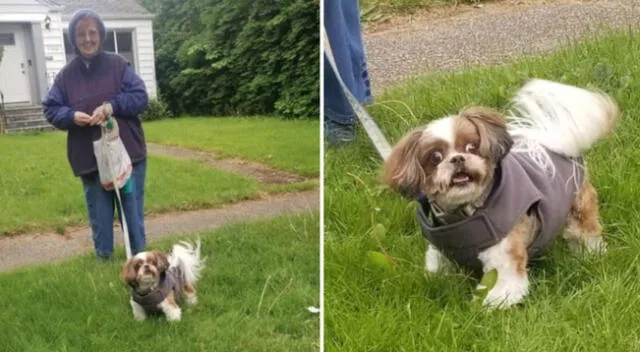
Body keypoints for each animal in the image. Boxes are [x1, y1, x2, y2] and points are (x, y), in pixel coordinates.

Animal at [382, 79, 616, 308]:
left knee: (584, 233)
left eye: (471, 147)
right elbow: (437, 269)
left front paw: (496, 302)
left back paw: (590, 255)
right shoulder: (439, 250)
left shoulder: (503, 250)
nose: (457, 158)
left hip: (579, 208)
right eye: (435, 157)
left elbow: (503, 281)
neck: (461, 217)